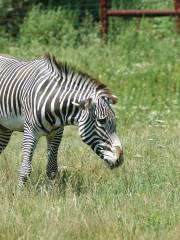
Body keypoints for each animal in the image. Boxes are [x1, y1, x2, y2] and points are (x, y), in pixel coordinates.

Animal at [0, 53, 124, 188]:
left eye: (115, 121)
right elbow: (25, 169)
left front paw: (53, 191)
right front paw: (20, 192)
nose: (120, 159)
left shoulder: (56, 133)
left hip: (4, 129)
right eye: (101, 121)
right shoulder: (30, 132)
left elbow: (52, 169)